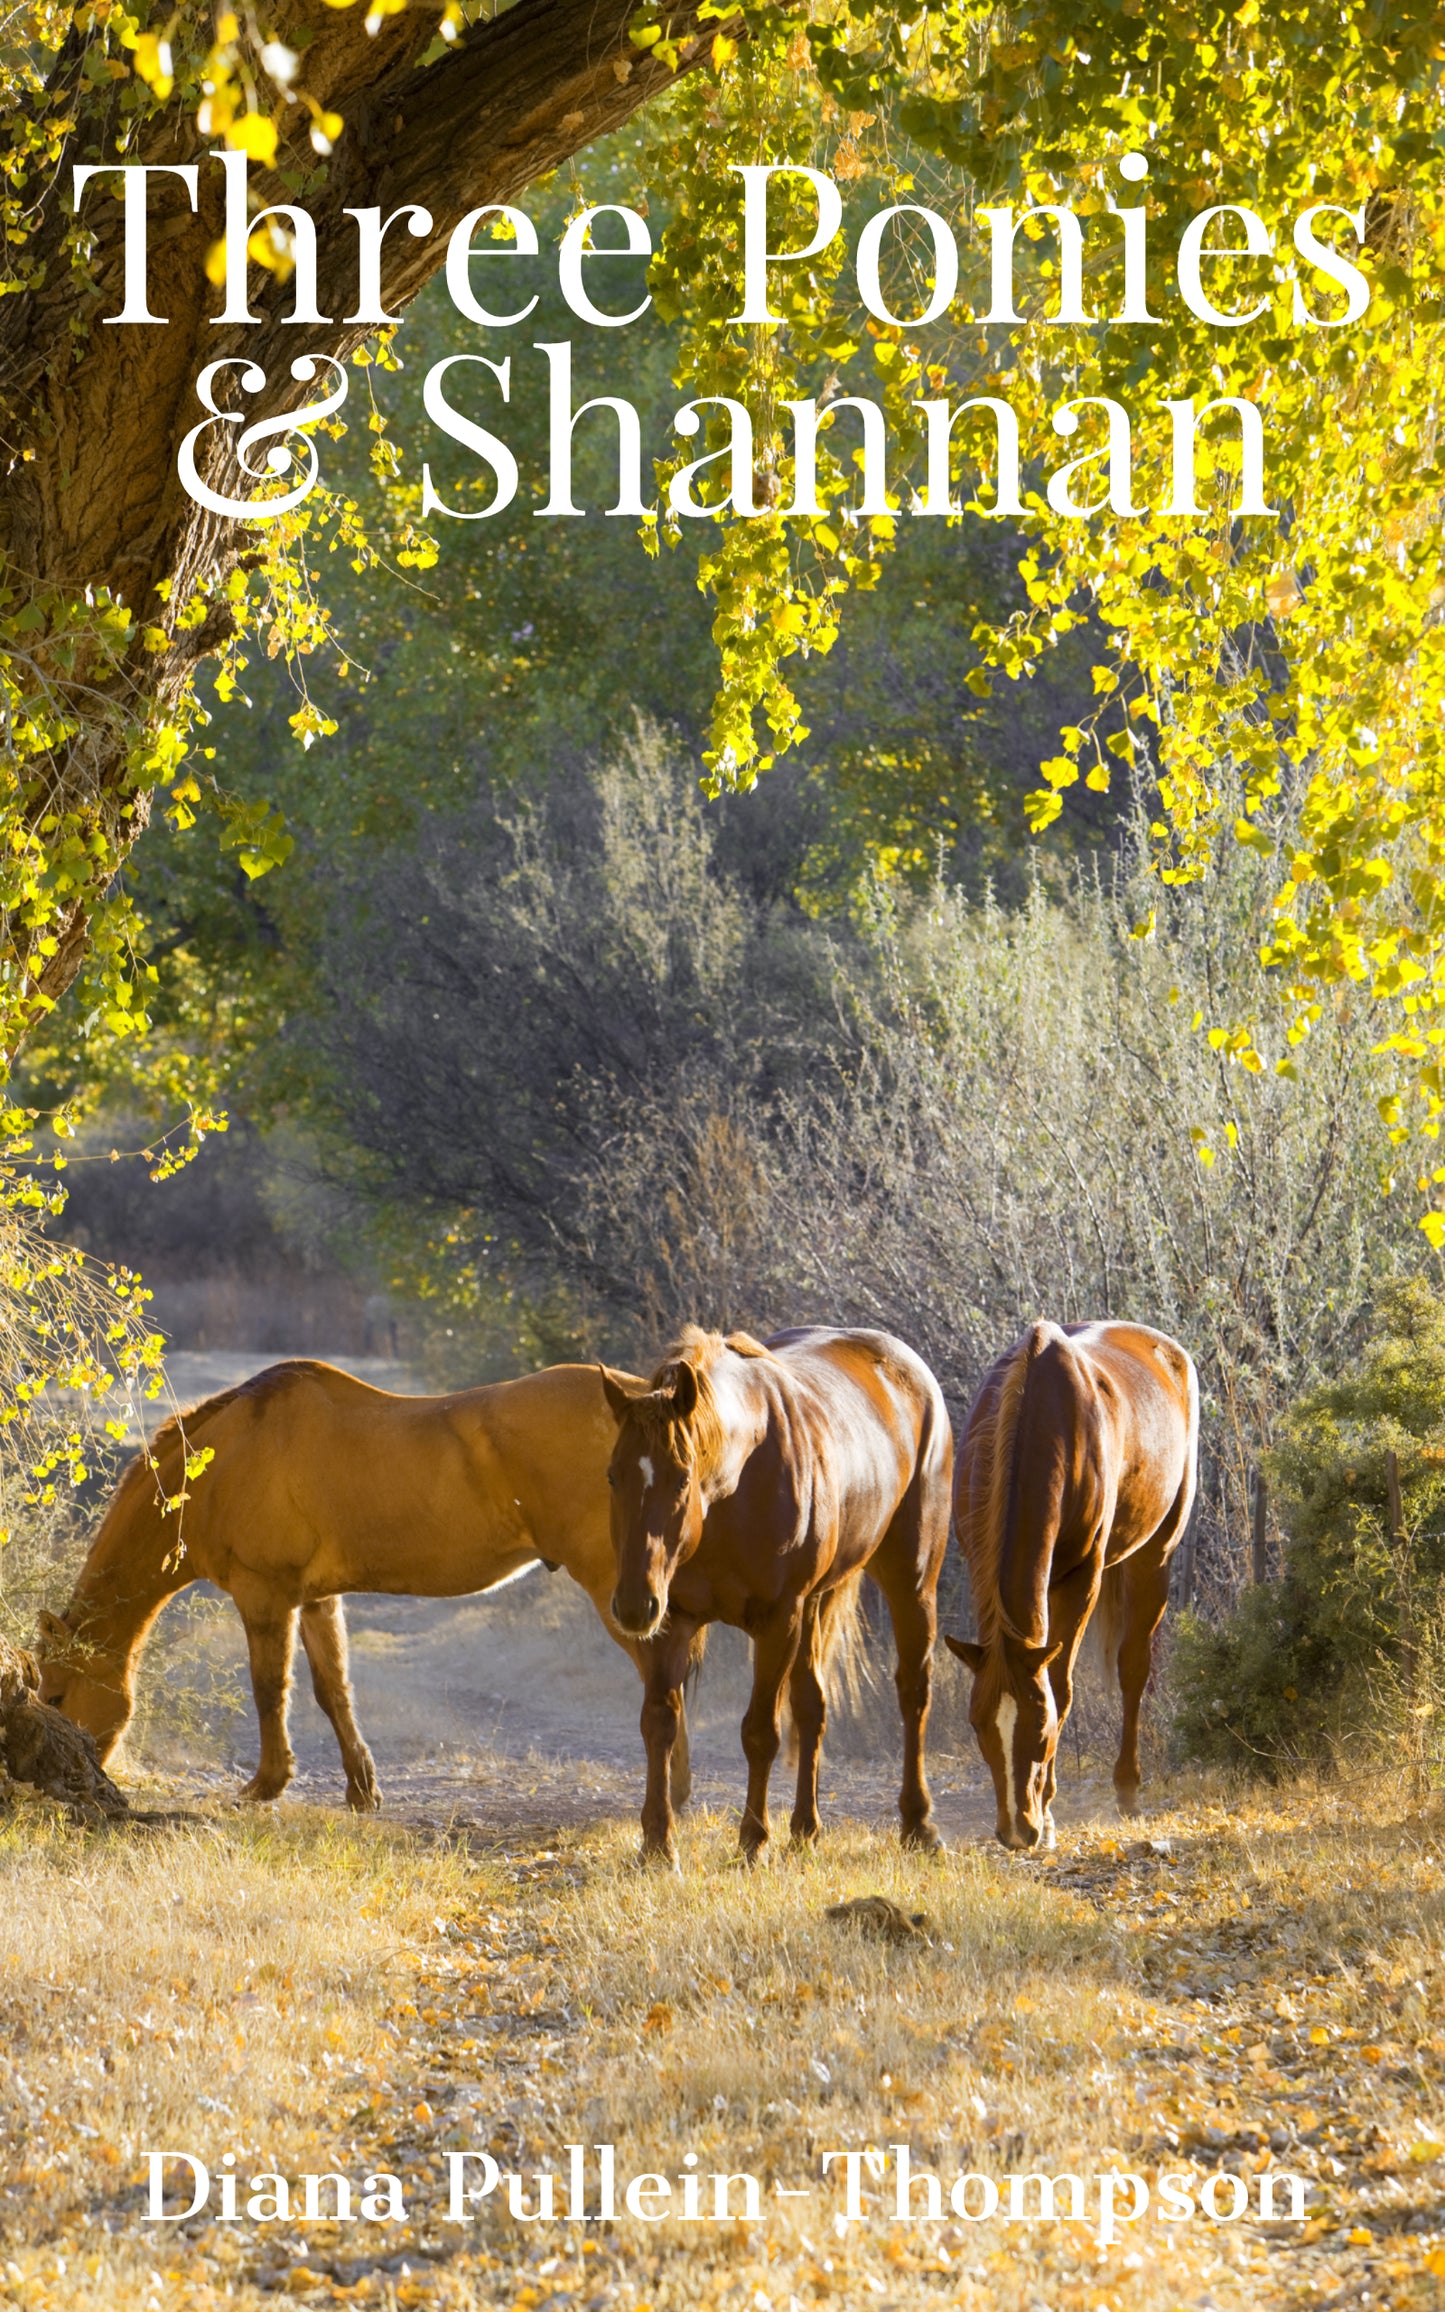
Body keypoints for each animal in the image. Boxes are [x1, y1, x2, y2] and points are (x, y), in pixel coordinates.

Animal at [35, 1357, 694, 1811]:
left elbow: (270, 1689)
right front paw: (361, 1789)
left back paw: (672, 1794)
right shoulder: (317, 1599)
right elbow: (334, 1690)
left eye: (58, 1694)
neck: (227, 1462)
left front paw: (266, 1785)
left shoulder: (265, 1595)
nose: (76, 1777)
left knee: (664, 1678)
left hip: (620, 1593)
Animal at [600, 1325, 953, 1868]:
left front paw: (753, 1841)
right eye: (613, 1476)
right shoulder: (672, 1620)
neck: (735, 1488)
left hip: (911, 1583)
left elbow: (760, 1732)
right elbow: (659, 1722)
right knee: (812, 1705)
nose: (634, 1606)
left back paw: (919, 1824)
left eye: (682, 1477)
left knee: (913, 1692)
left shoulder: (776, 1621)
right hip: (813, 1605)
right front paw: (658, 1844)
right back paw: (805, 1828)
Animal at [944, 1318, 1198, 1853]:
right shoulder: (977, 1560)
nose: (1016, 1830)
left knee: (1134, 1669)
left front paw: (1048, 1813)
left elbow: (1061, 1686)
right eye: (978, 1726)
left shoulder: (1080, 1579)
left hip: (1155, 1556)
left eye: (1042, 1729)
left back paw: (1127, 1790)